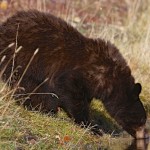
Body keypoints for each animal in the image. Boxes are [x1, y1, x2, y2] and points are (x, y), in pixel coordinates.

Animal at [0, 9, 148, 139]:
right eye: (142, 121)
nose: (145, 136)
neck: (111, 78)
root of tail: (5, 25)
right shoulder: (79, 75)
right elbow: (72, 95)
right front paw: (92, 127)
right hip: (22, 60)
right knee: (28, 86)